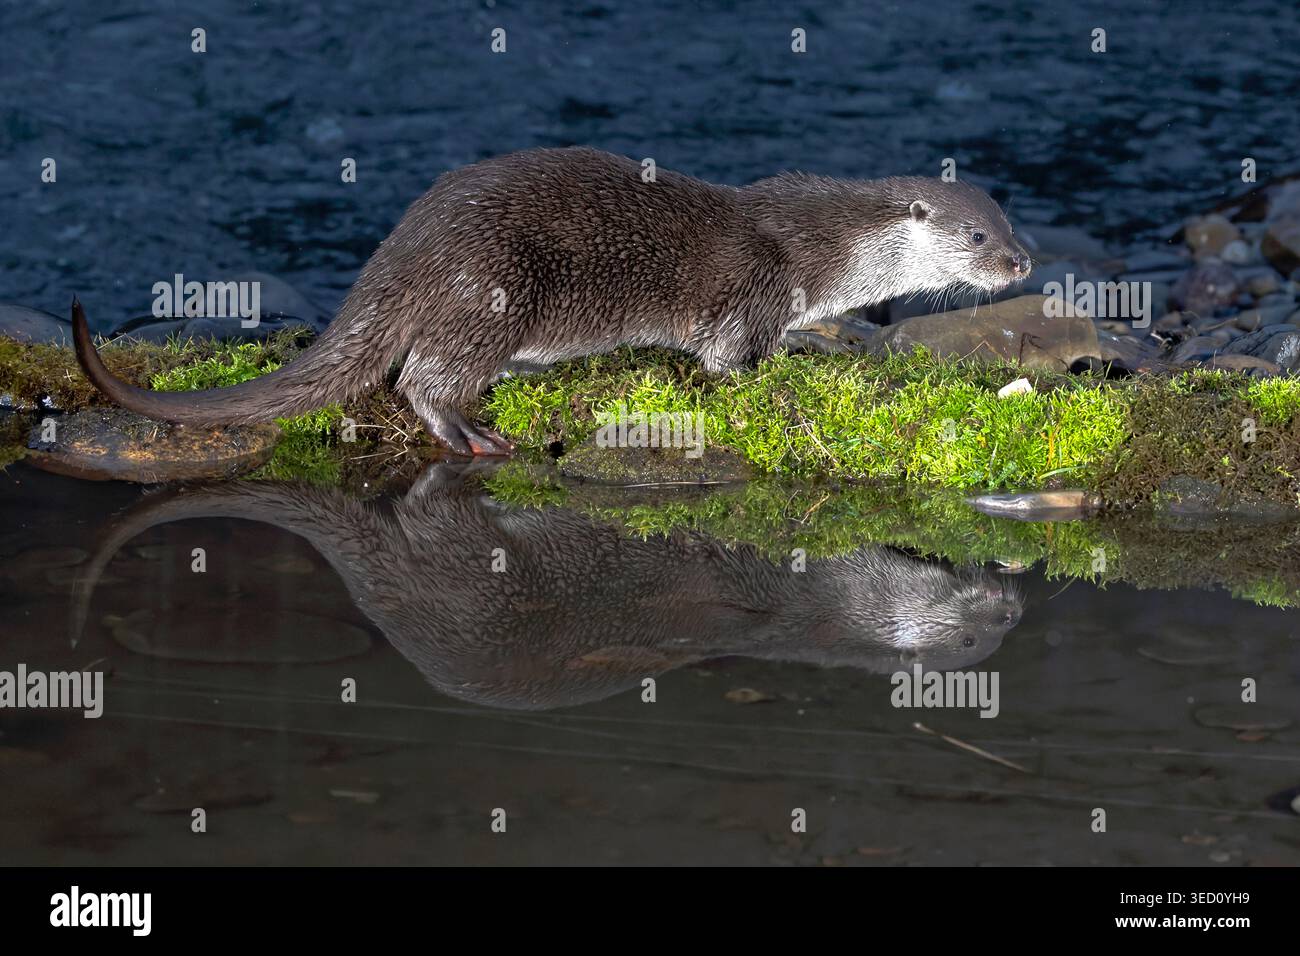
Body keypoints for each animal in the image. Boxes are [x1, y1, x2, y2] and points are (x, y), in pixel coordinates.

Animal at [71, 147, 1030, 455]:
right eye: (976, 237)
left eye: (1010, 220)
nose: (1023, 261)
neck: (827, 247)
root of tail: (407, 247)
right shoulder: (753, 285)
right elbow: (727, 362)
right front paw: (780, 376)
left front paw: (826, 339)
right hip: (494, 288)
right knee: (420, 376)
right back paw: (468, 429)